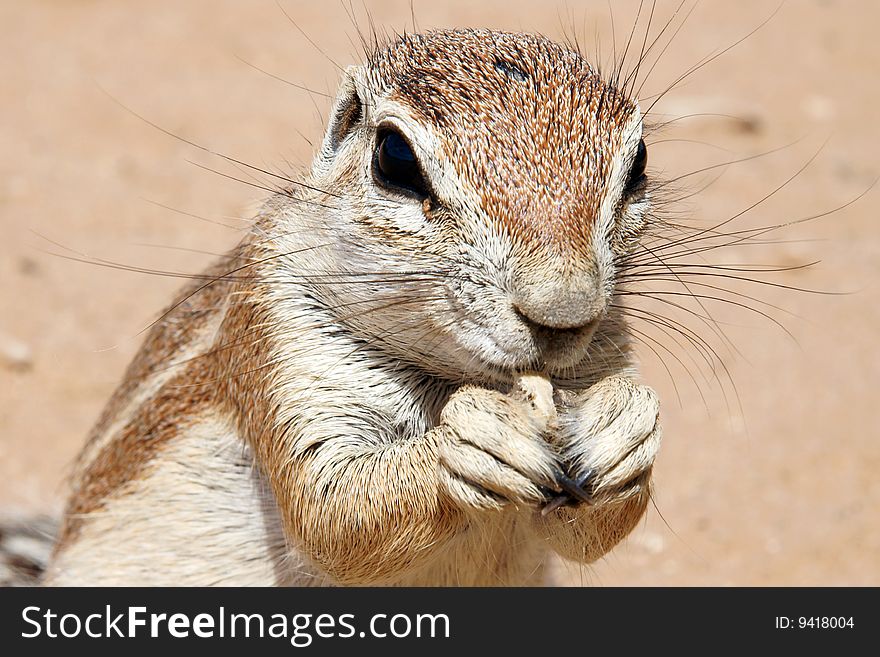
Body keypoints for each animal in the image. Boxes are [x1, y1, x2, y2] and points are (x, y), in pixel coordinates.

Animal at [41, 29, 660, 584]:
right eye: (395, 159)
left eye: (639, 163)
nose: (564, 313)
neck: (461, 375)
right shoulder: (282, 338)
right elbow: (332, 512)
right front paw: (470, 440)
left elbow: (593, 530)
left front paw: (623, 428)